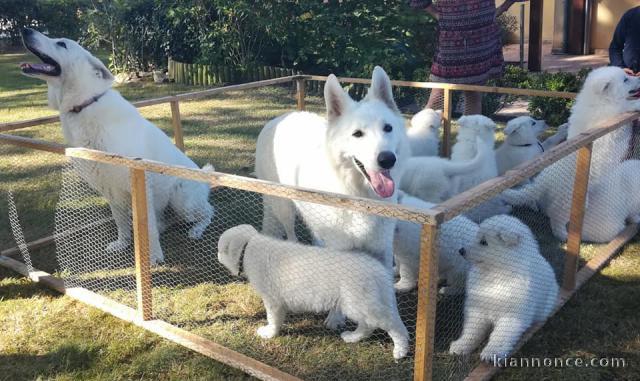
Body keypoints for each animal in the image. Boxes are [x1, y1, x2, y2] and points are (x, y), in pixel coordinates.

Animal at [20, 29, 215, 264]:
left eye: (61, 44)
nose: (26, 30)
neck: (85, 104)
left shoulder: (139, 183)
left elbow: (148, 229)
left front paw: (153, 257)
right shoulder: (110, 190)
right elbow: (120, 221)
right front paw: (123, 244)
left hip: (182, 200)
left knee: (209, 212)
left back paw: (196, 230)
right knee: (164, 221)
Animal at [218, 224, 408, 360]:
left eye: (220, 249)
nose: (217, 255)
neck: (248, 245)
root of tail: (378, 270)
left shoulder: (272, 300)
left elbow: (273, 319)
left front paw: (269, 333)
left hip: (360, 302)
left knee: (390, 325)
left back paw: (401, 350)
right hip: (359, 303)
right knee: (367, 325)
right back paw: (353, 337)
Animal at [255, 67, 410, 272]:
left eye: (388, 128)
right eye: (357, 134)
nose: (387, 160)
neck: (359, 197)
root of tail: (279, 118)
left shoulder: (382, 250)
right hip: (284, 208)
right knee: (290, 233)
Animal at [450, 215, 556, 360]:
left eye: (484, 242)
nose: (461, 250)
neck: (497, 272)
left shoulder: (512, 316)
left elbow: (499, 336)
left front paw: (491, 353)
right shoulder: (477, 308)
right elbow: (472, 331)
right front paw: (460, 346)